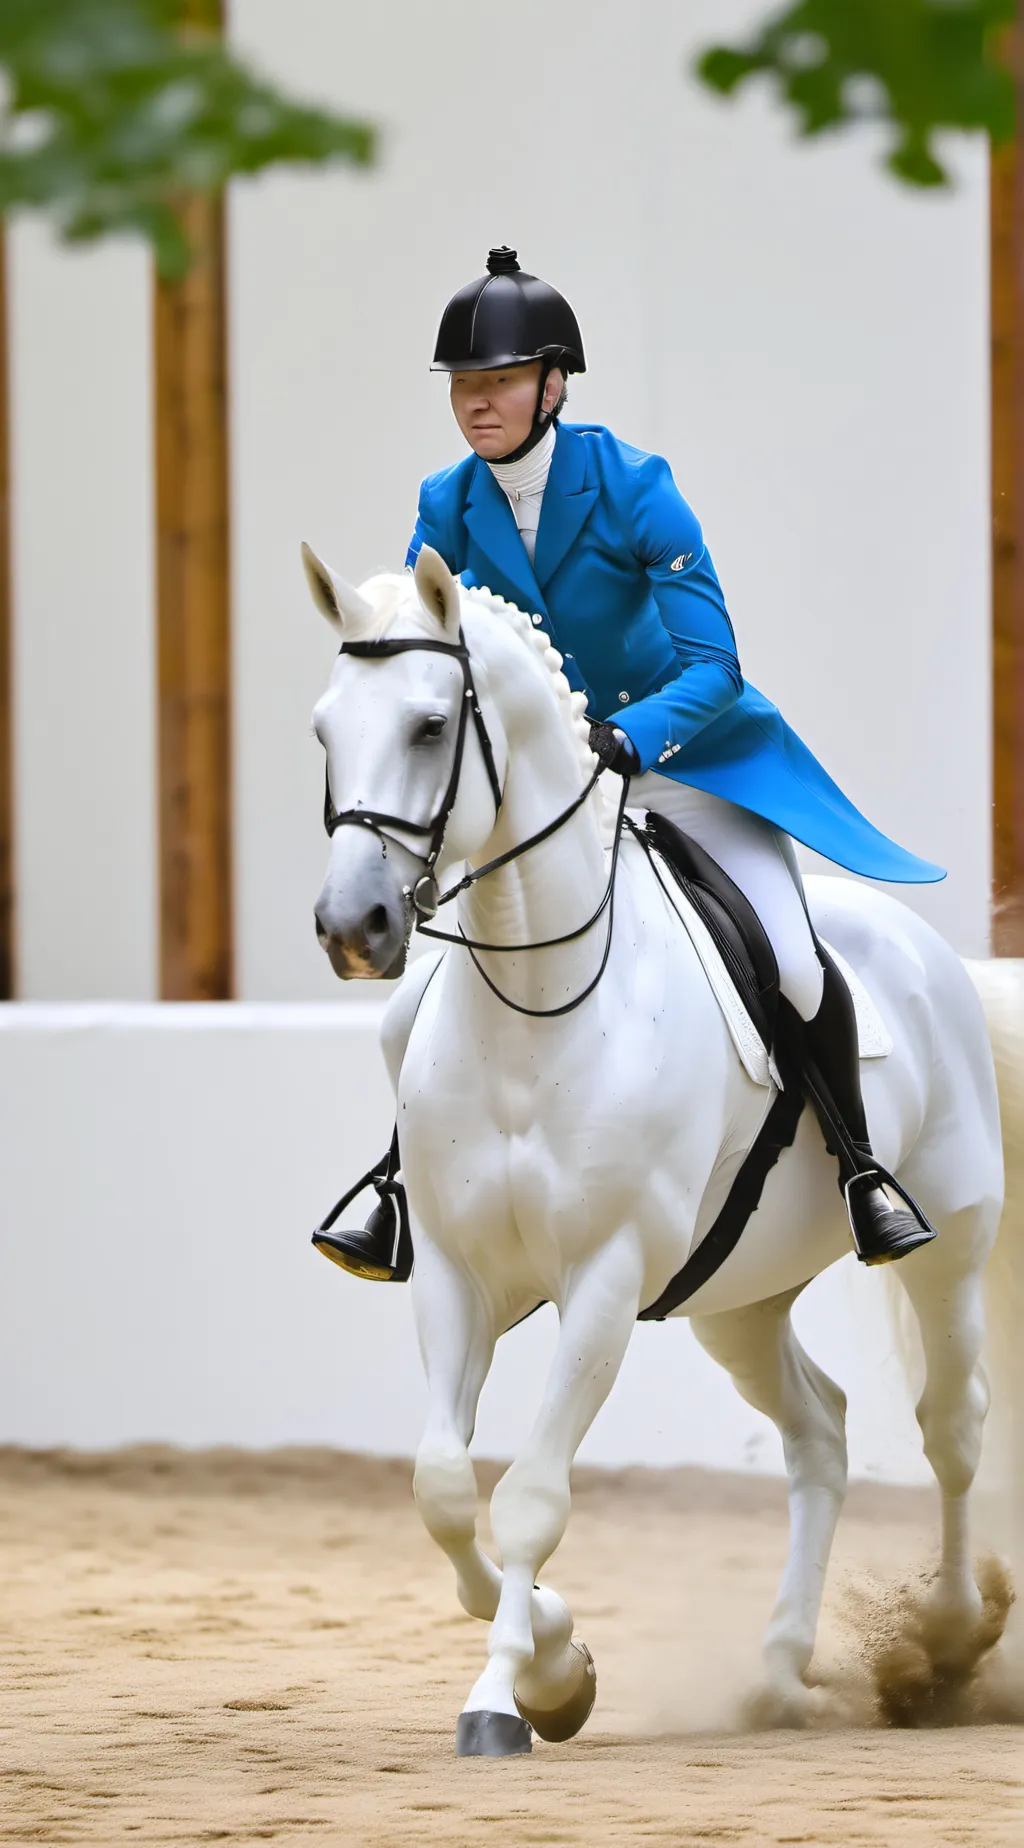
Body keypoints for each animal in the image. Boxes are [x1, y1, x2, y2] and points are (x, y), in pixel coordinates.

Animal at [302, 539, 1015, 1755]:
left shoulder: (603, 1277)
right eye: (321, 730)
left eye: (431, 726)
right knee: (819, 1432)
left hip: (950, 1247)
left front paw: (509, 1696)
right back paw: (778, 1671)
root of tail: (930, 955)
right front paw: (559, 1660)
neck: (534, 1007)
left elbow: (531, 1494)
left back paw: (949, 1644)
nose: (354, 928)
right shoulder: (452, 1273)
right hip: (736, 1297)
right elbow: (443, 1488)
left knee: (949, 1429)